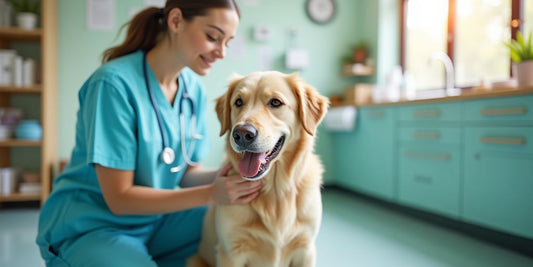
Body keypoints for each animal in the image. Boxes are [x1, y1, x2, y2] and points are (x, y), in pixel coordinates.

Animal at [187, 71, 328, 267]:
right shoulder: (230, 252)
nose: (242, 134)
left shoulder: (305, 249)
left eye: (275, 102)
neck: (275, 191)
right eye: (238, 102)